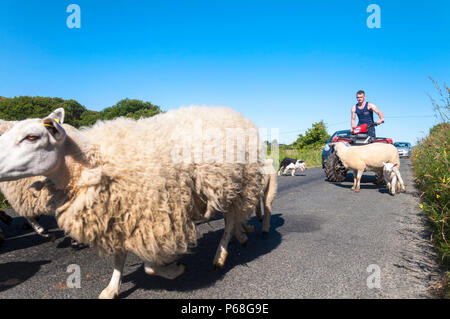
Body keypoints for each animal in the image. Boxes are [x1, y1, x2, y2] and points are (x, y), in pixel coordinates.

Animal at [0, 107, 264, 300]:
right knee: (234, 220)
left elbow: (149, 266)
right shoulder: (117, 216)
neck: (92, 163)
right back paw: (242, 235)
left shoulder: (152, 218)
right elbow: (119, 259)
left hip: (242, 184)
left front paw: (175, 269)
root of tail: (234, 112)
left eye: (32, 137)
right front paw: (111, 289)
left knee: (229, 222)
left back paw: (220, 255)